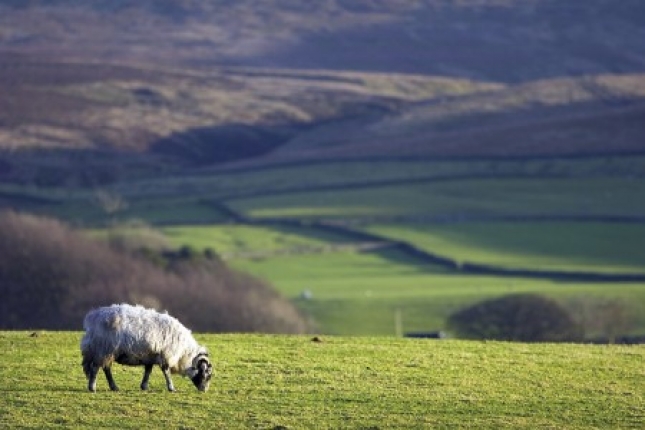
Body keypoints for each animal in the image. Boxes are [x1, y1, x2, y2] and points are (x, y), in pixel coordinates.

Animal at [79, 304, 213, 392]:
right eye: (206, 374)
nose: (204, 390)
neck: (184, 354)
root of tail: (93, 317)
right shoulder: (165, 355)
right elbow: (166, 372)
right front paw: (171, 388)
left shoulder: (151, 356)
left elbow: (148, 371)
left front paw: (144, 386)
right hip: (103, 349)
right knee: (96, 368)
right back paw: (92, 388)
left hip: (107, 352)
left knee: (106, 368)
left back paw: (114, 387)